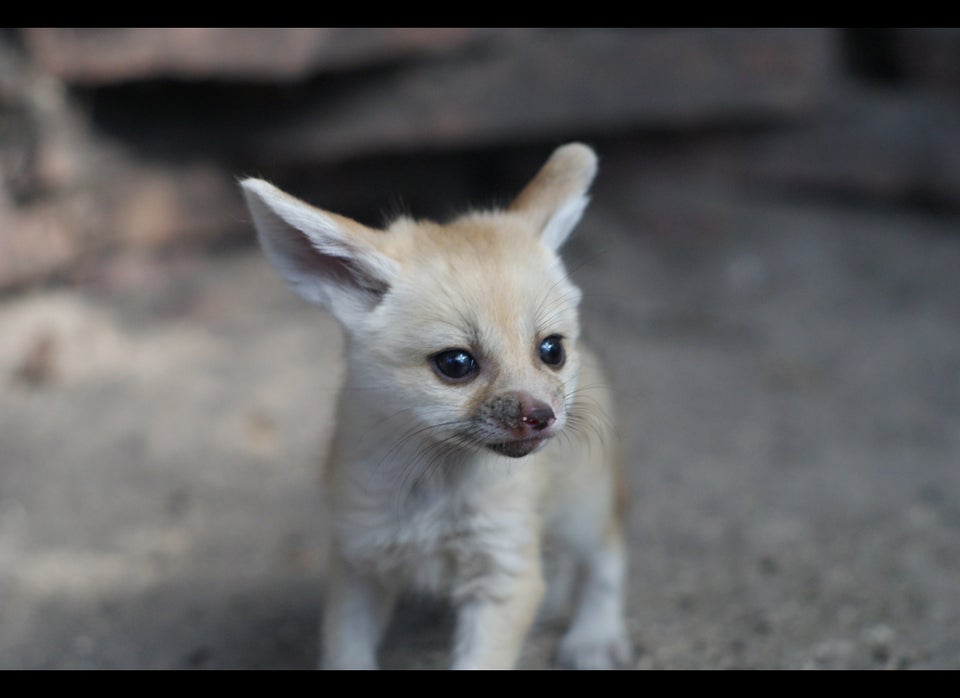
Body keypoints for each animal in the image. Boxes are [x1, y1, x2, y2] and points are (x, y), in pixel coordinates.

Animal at [239, 143, 632, 668]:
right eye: (456, 363)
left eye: (551, 351)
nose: (540, 417)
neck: (433, 496)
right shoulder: (358, 560)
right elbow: (346, 653)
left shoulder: (505, 574)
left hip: (581, 509)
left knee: (607, 550)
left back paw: (595, 635)